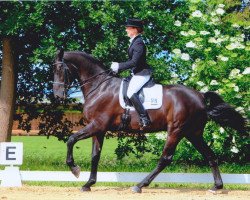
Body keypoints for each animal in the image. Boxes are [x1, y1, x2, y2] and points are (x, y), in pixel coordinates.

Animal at [52, 49, 246, 193]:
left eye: (60, 69)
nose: (57, 96)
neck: (100, 87)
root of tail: (200, 96)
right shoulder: (99, 129)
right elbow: (95, 156)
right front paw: (88, 184)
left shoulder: (96, 125)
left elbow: (71, 139)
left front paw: (75, 170)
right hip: (193, 133)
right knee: (210, 155)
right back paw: (217, 186)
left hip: (176, 131)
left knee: (165, 159)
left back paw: (139, 185)